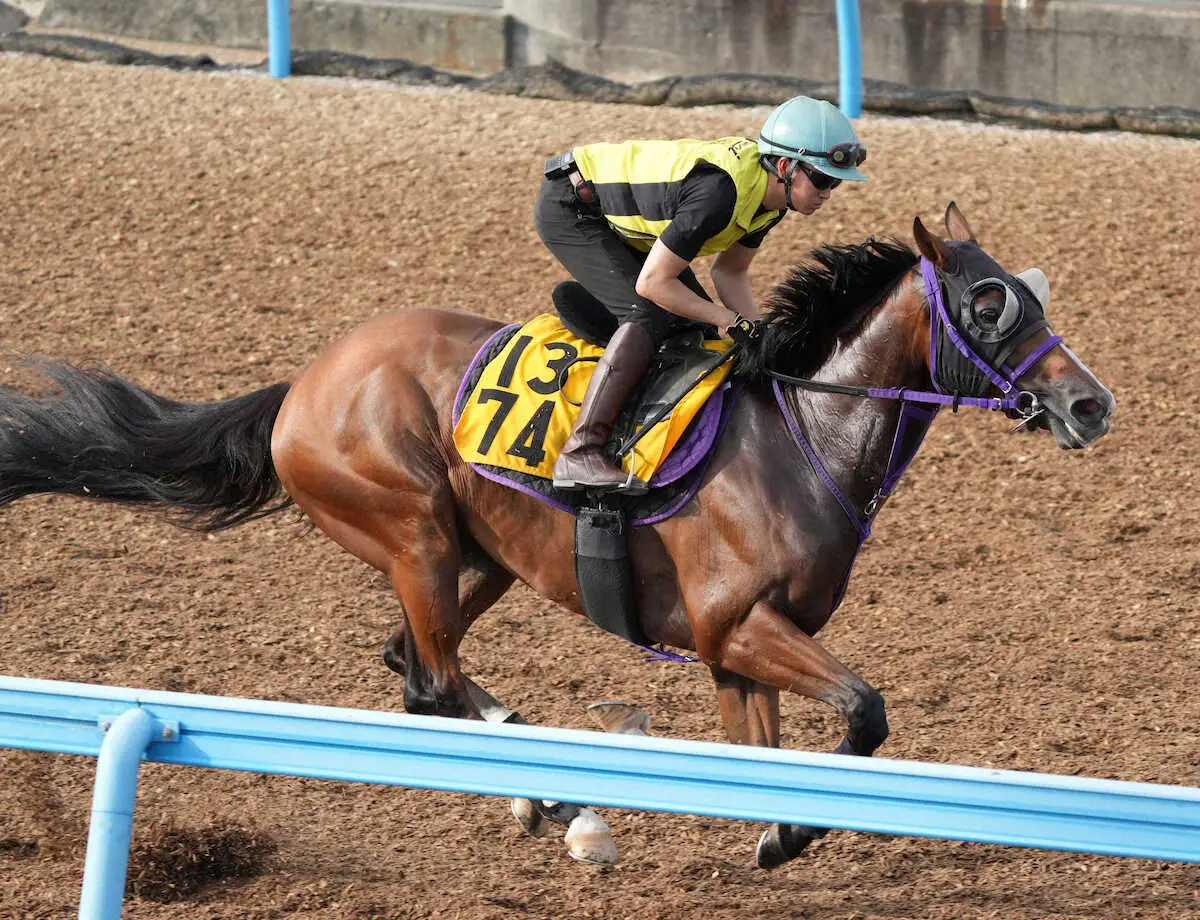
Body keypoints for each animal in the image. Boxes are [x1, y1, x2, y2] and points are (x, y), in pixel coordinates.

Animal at [0, 203, 1113, 873]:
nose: (1090, 403)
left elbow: (765, 752)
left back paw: (548, 789)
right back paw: (552, 798)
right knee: (427, 677)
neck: (806, 429)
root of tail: (305, 383)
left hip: (480, 554)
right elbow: (864, 711)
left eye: (1031, 291)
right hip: (412, 527)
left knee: (413, 659)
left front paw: (775, 827)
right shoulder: (737, 626)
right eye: (986, 303)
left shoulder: (740, 648)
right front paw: (788, 835)